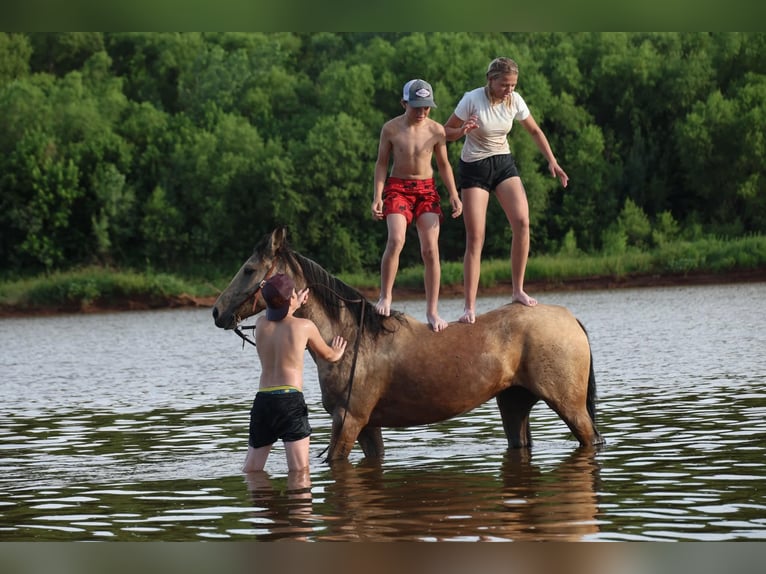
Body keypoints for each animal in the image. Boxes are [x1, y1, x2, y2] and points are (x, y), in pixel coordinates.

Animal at [212, 227, 603, 462]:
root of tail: (570, 318)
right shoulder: (367, 425)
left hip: (569, 406)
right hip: (515, 403)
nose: (217, 311)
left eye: (249, 270)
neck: (353, 340)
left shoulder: (348, 420)